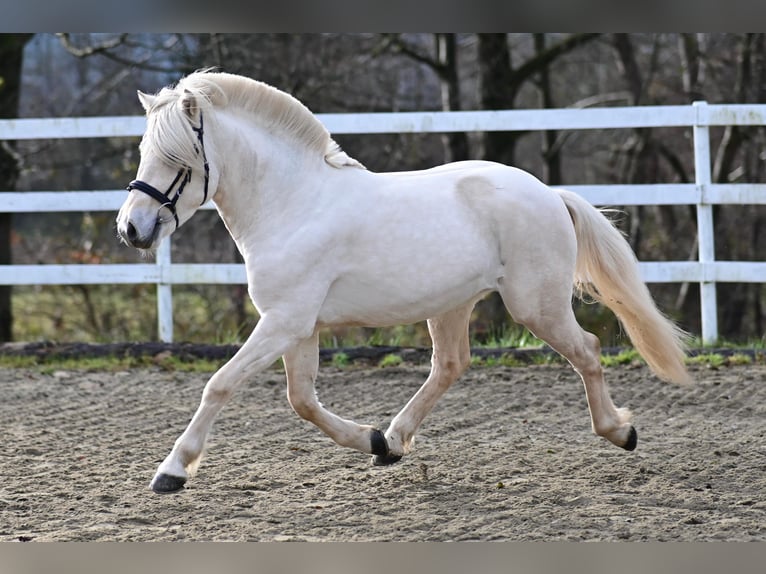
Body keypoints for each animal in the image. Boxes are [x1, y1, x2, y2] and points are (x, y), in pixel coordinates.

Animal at [115, 71, 696, 496]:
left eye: (176, 160)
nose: (131, 229)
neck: (293, 204)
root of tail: (550, 194)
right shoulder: (300, 328)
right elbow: (302, 400)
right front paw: (373, 442)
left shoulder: (283, 322)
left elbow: (221, 384)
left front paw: (171, 472)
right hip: (452, 305)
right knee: (451, 364)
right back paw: (393, 440)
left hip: (537, 306)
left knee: (589, 350)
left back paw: (621, 432)